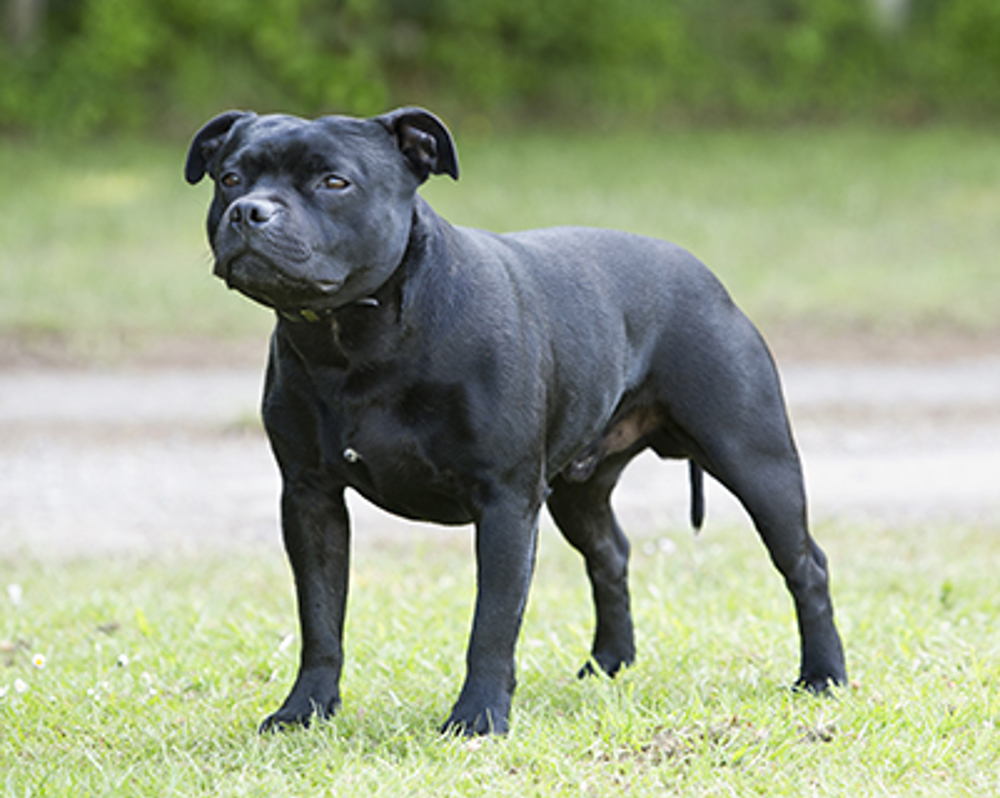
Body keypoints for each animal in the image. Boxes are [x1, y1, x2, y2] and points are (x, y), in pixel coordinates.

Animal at [186, 106, 844, 736]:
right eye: (230, 178)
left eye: (334, 182)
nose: (249, 212)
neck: (352, 336)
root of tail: (704, 275)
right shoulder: (311, 498)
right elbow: (321, 618)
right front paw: (304, 711)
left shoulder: (504, 501)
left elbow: (493, 622)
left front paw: (477, 719)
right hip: (579, 490)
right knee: (610, 554)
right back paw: (608, 665)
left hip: (755, 461)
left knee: (805, 564)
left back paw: (823, 676)